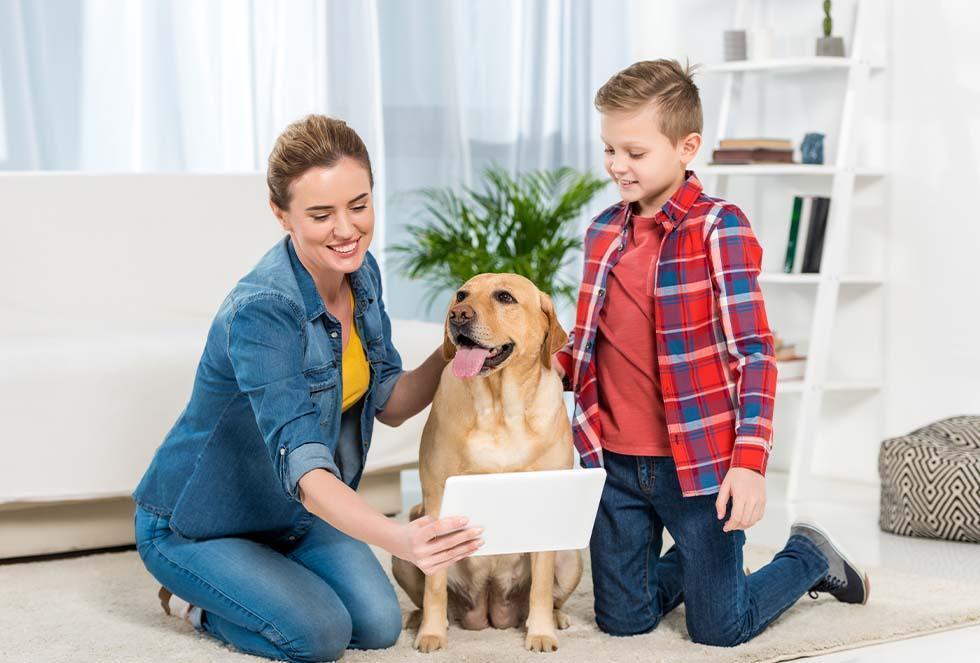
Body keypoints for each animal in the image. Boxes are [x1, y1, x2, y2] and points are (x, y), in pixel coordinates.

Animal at [390, 274, 580, 652]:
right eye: (461, 295)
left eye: (505, 297)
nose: (458, 314)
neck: (499, 408)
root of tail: (490, 611)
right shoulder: (437, 497)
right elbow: (434, 586)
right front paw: (432, 635)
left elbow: (540, 589)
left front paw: (540, 634)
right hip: (406, 543)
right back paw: (420, 619)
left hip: (571, 557)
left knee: (550, 595)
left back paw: (557, 618)